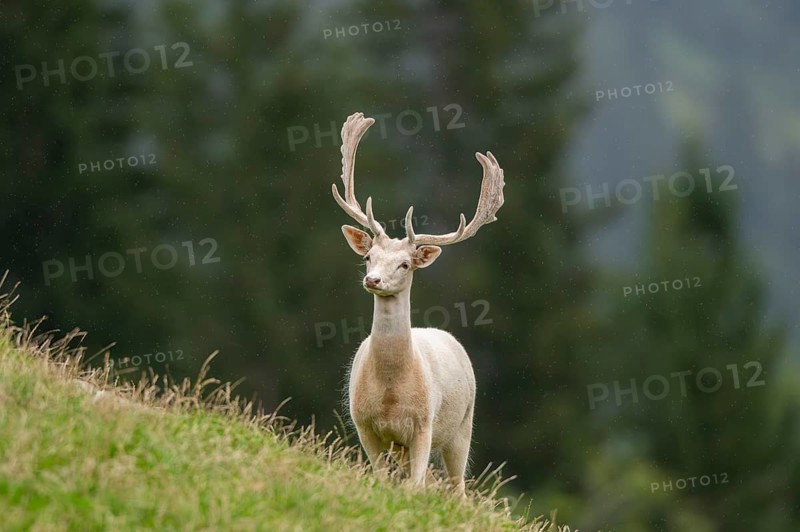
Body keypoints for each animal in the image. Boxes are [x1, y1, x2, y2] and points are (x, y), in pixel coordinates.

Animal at [332, 112, 505, 495]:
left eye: (405, 264)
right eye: (368, 257)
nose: (373, 280)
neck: (391, 395)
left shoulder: (424, 425)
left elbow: (415, 485)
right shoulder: (363, 423)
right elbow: (383, 479)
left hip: (463, 425)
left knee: (458, 487)